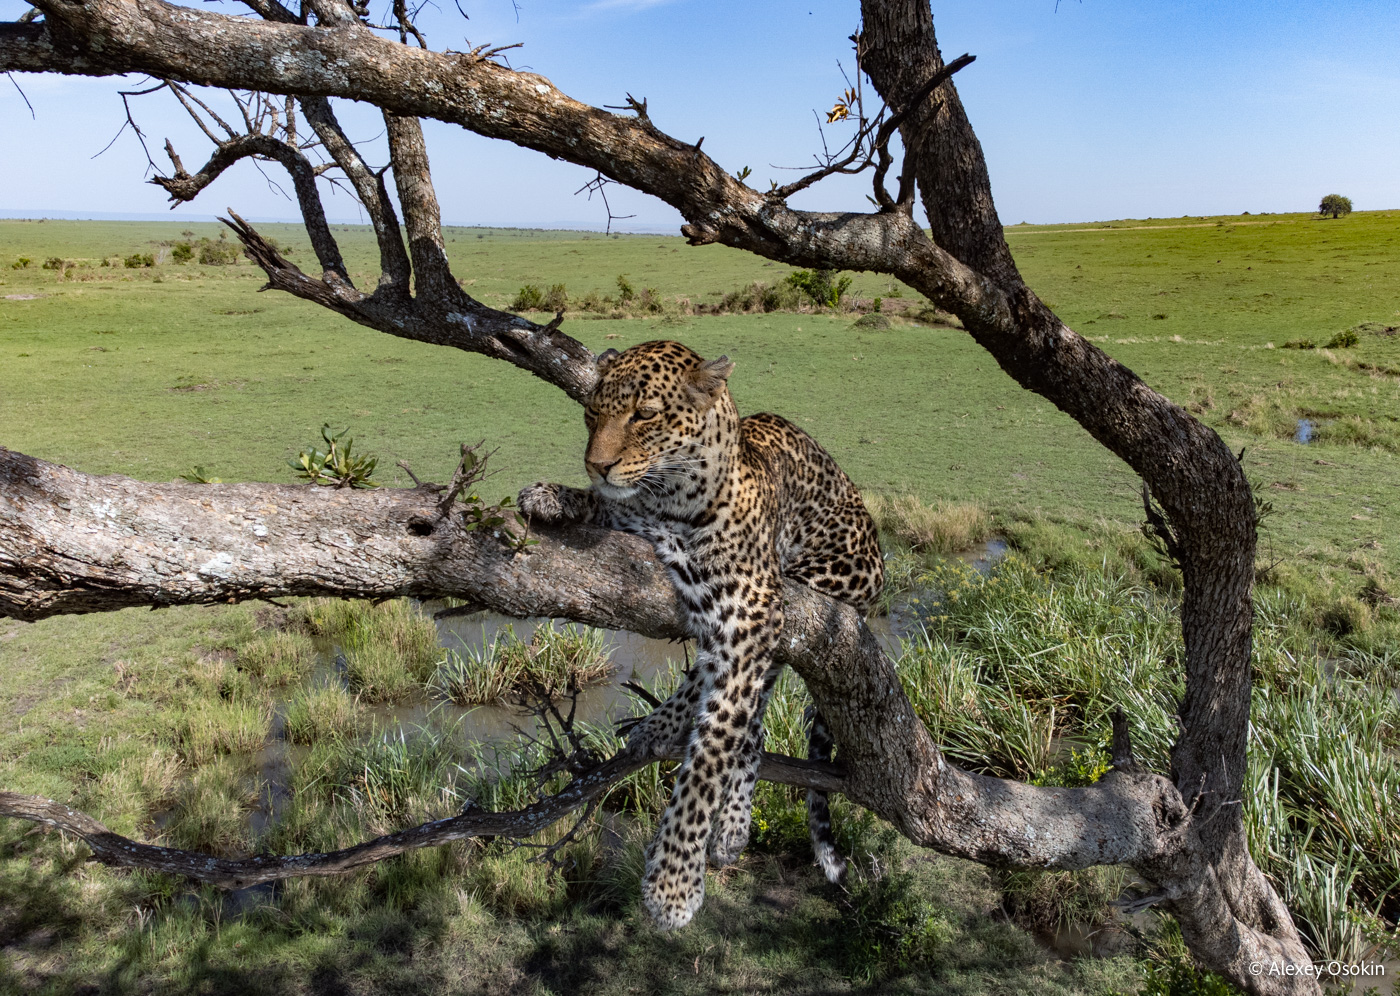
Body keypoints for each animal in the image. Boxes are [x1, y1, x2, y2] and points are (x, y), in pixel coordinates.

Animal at [520, 339, 879, 930]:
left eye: (644, 414)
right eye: (592, 413)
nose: (596, 464)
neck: (671, 501)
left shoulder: (751, 607)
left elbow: (712, 755)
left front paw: (673, 883)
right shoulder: (632, 513)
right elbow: (608, 503)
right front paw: (551, 494)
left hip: (818, 584)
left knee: (744, 709)